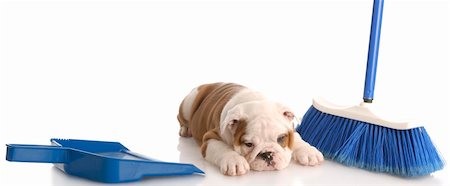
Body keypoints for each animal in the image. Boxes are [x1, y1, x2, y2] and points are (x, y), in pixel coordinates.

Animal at [177, 83, 324, 176]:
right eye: (248, 144)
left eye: (281, 138)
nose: (268, 154)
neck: (254, 102)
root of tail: (208, 84)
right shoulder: (210, 138)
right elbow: (222, 148)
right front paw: (234, 161)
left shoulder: (291, 129)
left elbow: (298, 139)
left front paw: (308, 151)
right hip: (188, 104)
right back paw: (186, 129)